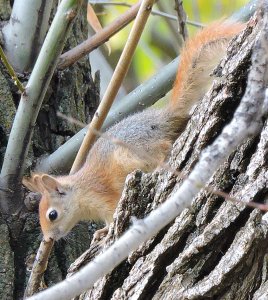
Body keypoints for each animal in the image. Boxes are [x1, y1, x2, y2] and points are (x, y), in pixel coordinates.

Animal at [22, 21, 243, 241]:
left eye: (52, 214)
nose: (49, 239)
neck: (81, 191)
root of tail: (164, 119)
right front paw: (102, 232)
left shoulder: (103, 197)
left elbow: (111, 214)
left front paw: (106, 232)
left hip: (133, 153)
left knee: (163, 147)